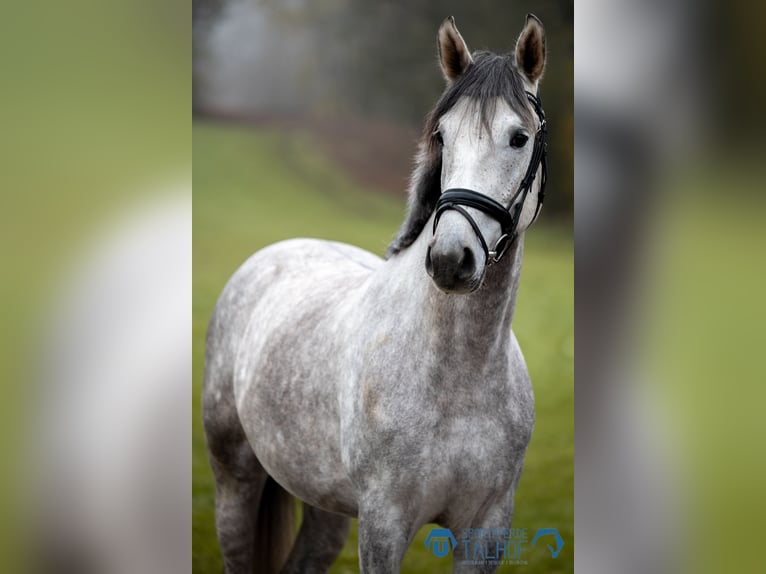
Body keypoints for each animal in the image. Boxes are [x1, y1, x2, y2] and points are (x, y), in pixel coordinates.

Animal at [203, 14, 548, 573]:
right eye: (442, 136)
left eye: (519, 138)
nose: (450, 259)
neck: (460, 379)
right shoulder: (384, 525)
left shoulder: (488, 530)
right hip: (235, 482)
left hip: (325, 506)